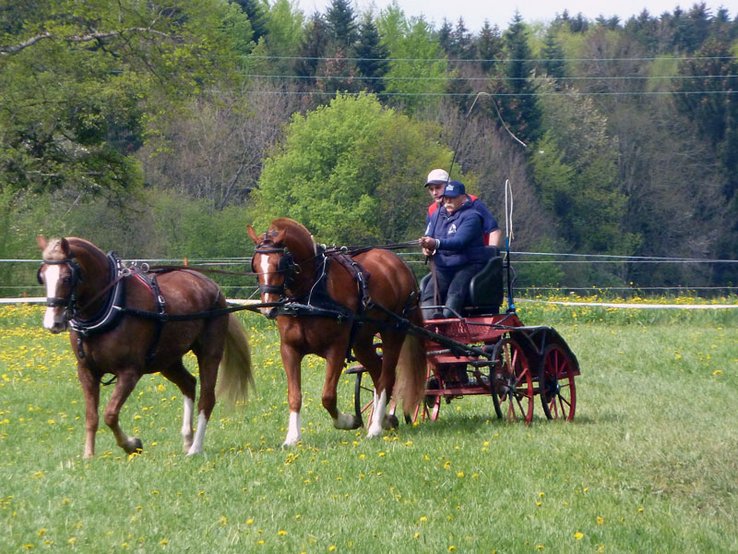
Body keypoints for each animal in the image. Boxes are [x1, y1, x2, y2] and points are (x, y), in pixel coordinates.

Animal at [36, 236, 253, 458]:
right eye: (42, 277)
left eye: (66, 277)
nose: (53, 322)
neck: (111, 303)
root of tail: (212, 286)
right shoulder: (86, 371)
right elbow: (92, 416)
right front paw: (88, 455)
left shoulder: (129, 372)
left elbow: (110, 414)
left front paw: (132, 444)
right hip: (167, 360)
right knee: (189, 384)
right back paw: (187, 439)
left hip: (209, 353)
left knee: (207, 398)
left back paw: (195, 448)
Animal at [247, 218, 426, 446]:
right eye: (255, 265)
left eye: (281, 263)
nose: (269, 307)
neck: (311, 294)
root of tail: (399, 264)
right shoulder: (289, 349)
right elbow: (294, 395)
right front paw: (292, 437)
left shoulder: (337, 349)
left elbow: (328, 396)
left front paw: (348, 421)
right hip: (362, 342)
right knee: (377, 373)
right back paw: (385, 419)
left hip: (393, 332)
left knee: (386, 377)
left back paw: (375, 428)